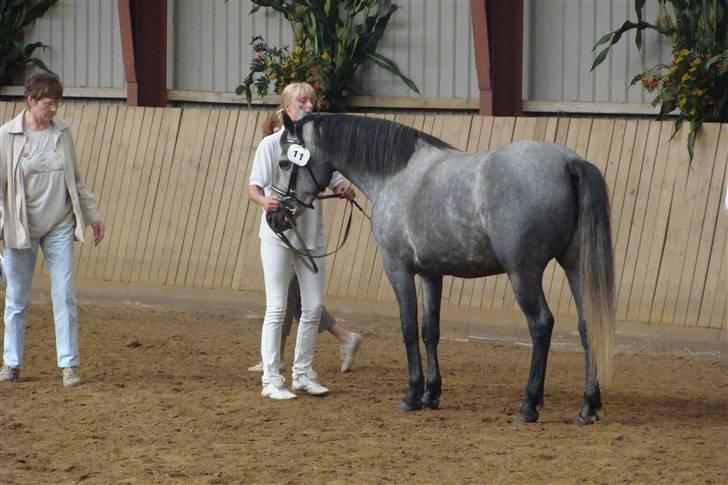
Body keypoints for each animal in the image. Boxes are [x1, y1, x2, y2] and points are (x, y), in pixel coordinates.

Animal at [276, 113, 616, 424]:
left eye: (283, 163)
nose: (276, 217)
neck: (396, 174)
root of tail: (568, 162)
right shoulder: (431, 273)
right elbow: (430, 331)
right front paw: (431, 393)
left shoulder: (397, 268)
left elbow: (408, 329)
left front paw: (412, 394)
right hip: (574, 265)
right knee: (587, 326)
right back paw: (588, 406)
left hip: (524, 272)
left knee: (542, 325)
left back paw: (529, 406)